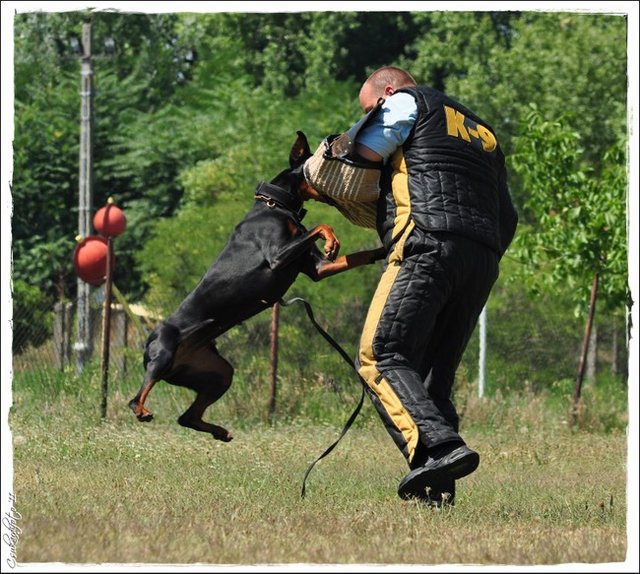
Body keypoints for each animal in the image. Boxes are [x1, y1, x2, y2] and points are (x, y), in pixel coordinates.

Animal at [129, 131, 383, 442]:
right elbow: (321, 226)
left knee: (187, 416)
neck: (275, 205)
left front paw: (384, 249)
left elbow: (356, 256)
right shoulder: (277, 257)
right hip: (163, 353)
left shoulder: (317, 269)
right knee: (137, 397)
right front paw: (332, 239)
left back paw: (220, 432)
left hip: (218, 372)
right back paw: (143, 410)